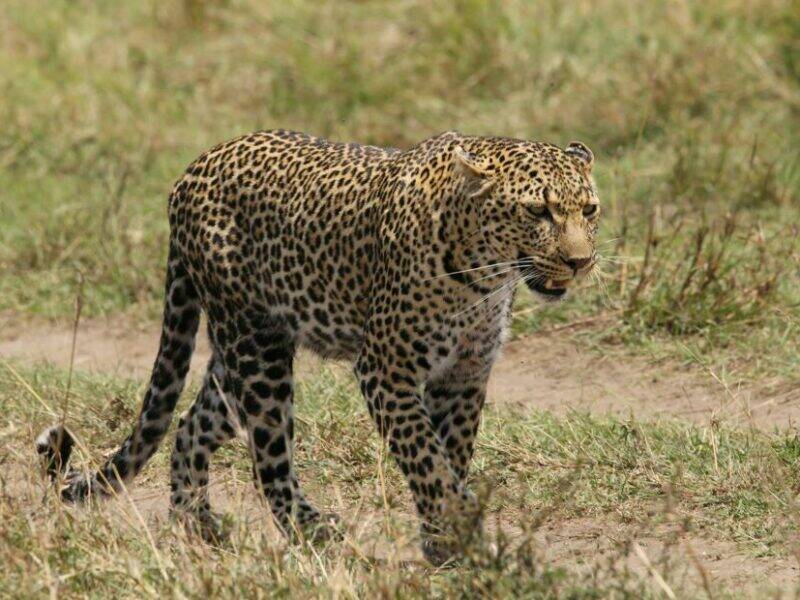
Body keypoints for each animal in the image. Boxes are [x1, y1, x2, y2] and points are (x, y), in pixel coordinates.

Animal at [36, 129, 599, 564]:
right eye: (538, 211)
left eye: (590, 210)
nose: (580, 262)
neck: (484, 276)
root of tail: (192, 169)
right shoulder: (385, 371)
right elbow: (428, 459)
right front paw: (458, 530)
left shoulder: (464, 374)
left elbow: (450, 455)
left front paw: (444, 540)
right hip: (257, 351)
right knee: (268, 461)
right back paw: (311, 531)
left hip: (240, 354)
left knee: (192, 424)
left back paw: (196, 527)